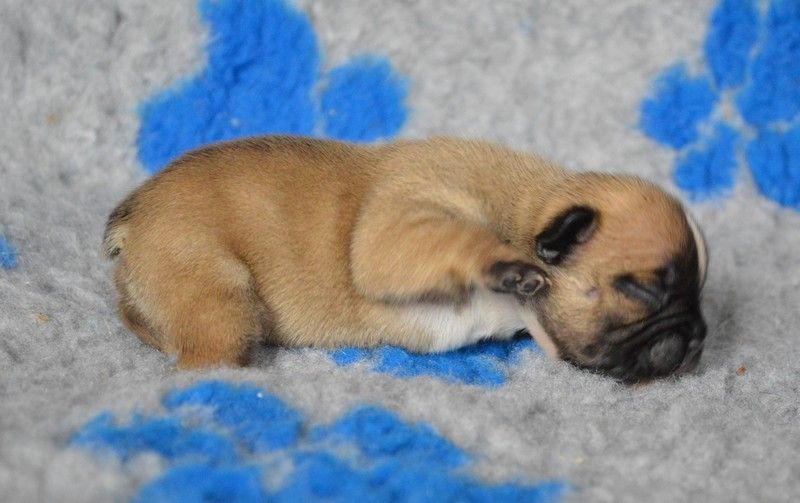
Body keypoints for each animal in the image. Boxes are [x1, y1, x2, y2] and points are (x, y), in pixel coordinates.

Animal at [103, 136, 707, 382]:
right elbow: (452, 239)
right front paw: (508, 264)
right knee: (207, 354)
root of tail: (131, 219)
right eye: (643, 290)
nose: (700, 335)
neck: (528, 205)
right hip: (215, 290)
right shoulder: (402, 225)